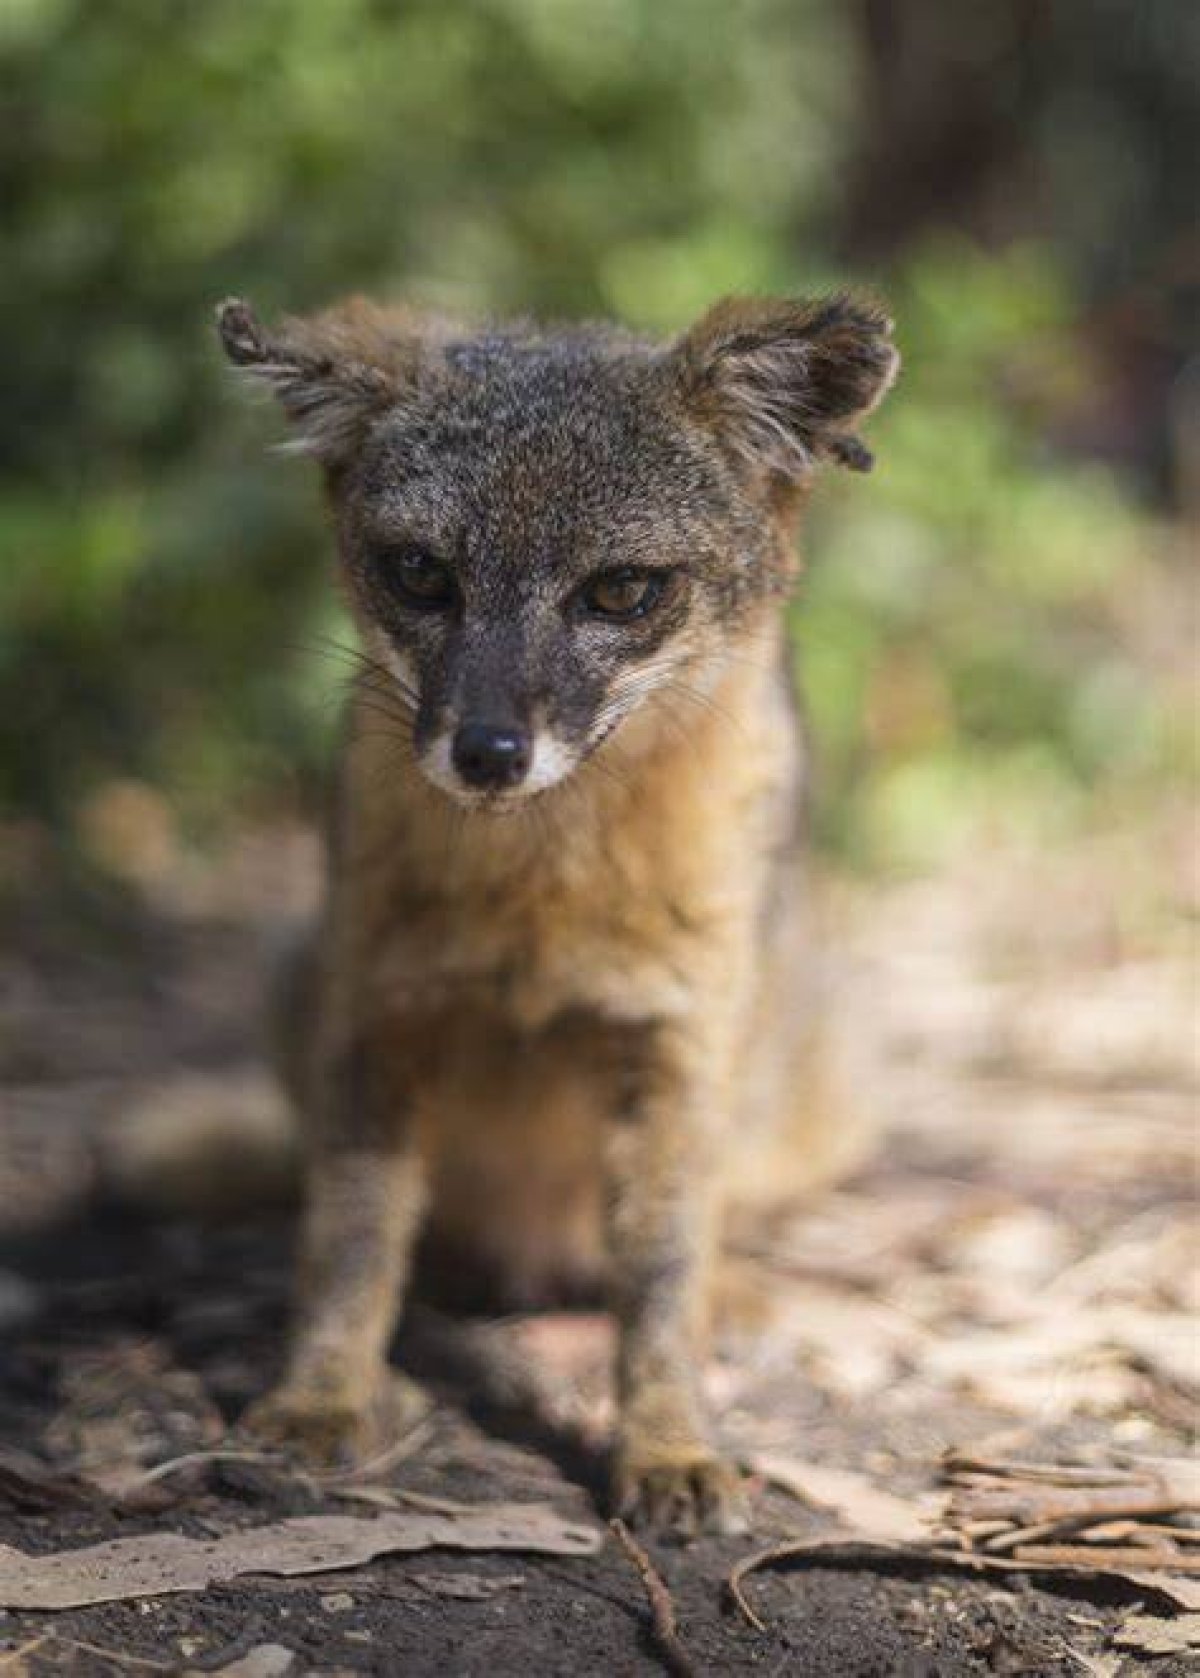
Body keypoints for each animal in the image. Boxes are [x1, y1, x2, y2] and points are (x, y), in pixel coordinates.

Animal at [214, 289, 898, 1537]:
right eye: (421, 572)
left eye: (620, 589)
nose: (487, 751)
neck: (540, 896)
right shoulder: (378, 1020)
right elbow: (349, 1243)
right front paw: (320, 1395)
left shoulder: (674, 1051)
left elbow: (664, 1278)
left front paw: (669, 1443)